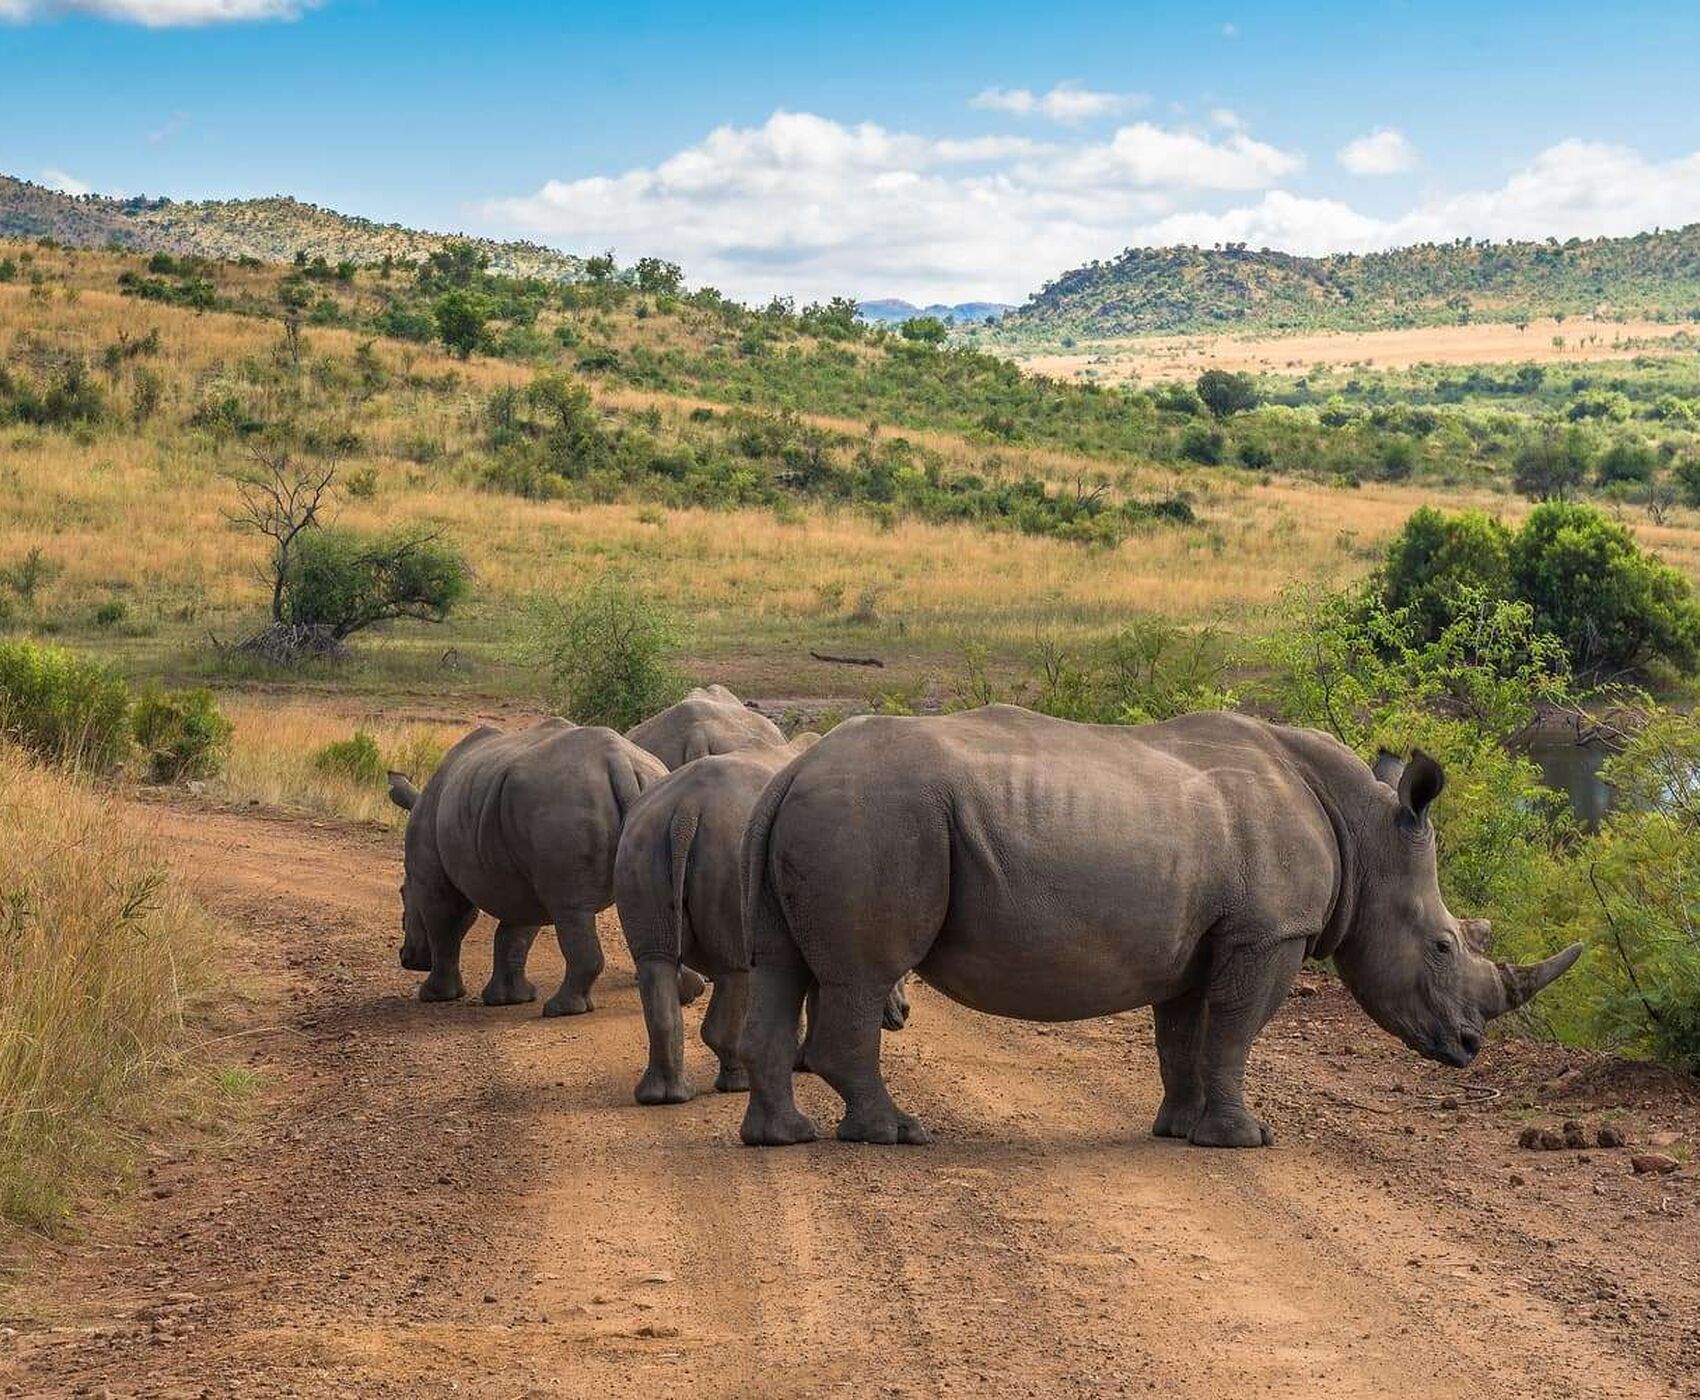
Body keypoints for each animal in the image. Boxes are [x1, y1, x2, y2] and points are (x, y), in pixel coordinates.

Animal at [389, 720, 680, 1019]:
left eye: (402, 894)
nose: (407, 958)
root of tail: (620, 762)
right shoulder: (522, 869)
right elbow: (515, 933)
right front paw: (509, 999)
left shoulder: (431, 876)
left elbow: (444, 924)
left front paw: (435, 996)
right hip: (643, 797)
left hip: (562, 803)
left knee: (570, 909)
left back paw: (559, 1009)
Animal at [608, 737, 904, 1107]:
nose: (904, 1013)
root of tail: (685, 813)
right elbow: (814, 998)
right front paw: (802, 1062)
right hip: (731, 851)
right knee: (735, 967)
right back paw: (739, 1085)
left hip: (641, 840)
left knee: (654, 960)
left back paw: (665, 1097)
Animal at [737, 710, 1584, 1148]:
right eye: (1443, 946)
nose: (1470, 1047)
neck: (1365, 835)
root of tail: (792, 770)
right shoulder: (1269, 933)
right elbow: (1235, 1032)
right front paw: (1245, 1140)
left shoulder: (1201, 938)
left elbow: (1183, 1034)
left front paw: (1178, 1130)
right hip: (877, 819)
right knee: (862, 975)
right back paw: (895, 1134)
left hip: (837, 818)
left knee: (780, 970)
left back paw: (783, 1138)